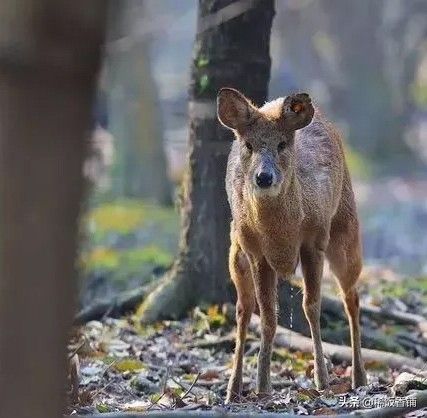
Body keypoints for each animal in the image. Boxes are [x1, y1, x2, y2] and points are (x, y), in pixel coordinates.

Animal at [217, 87, 368, 402]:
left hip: (345, 229)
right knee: (242, 309)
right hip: (235, 252)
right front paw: (262, 386)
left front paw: (322, 380)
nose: (264, 177)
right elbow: (267, 316)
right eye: (249, 145)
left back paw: (360, 376)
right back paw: (233, 389)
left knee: (352, 297)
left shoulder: (314, 241)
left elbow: (311, 306)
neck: (281, 234)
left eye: (282, 144)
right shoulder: (256, 252)